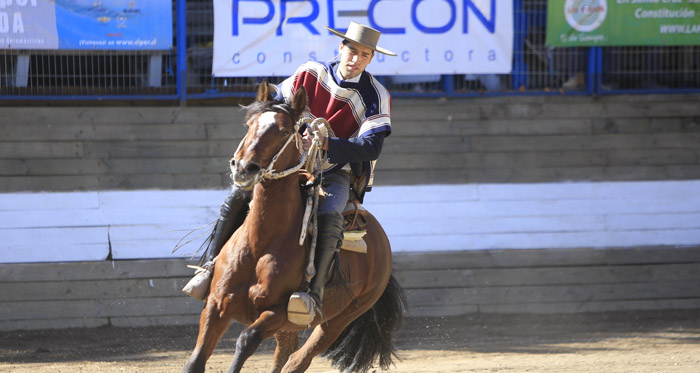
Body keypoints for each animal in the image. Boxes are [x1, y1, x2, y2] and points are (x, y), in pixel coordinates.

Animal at [183, 81, 408, 372]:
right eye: (249, 124)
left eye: (282, 131)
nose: (243, 167)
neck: (261, 243)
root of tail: (382, 243)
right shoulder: (216, 303)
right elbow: (195, 360)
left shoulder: (278, 312)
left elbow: (246, 339)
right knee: (285, 353)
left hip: (335, 321)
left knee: (297, 359)